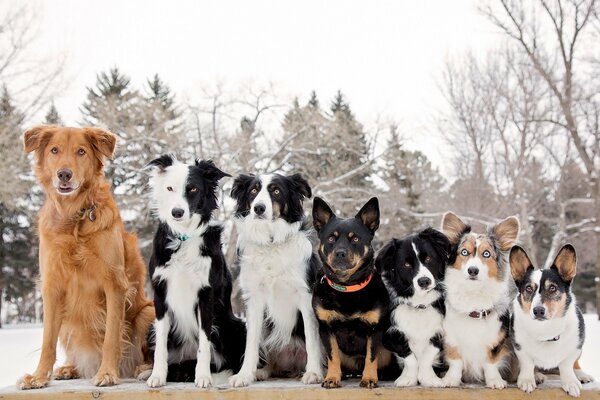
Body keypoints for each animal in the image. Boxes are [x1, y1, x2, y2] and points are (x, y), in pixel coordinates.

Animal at [18, 125, 155, 388]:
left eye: (81, 151)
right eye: (54, 150)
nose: (64, 174)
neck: (74, 217)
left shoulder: (115, 283)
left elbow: (111, 336)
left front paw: (107, 373)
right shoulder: (52, 286)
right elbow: (47, 341)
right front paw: (39, 377)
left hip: (147, 312)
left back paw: (142, 368)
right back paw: (69, 368)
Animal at [310, 198, 394, 390]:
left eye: (355, 238)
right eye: (331, 238)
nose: (340, 253)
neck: (346, 288)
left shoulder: (374, 329)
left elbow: (371, 356)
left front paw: (369, 378)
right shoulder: (326, 328)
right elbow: (333, 356)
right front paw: (332, 377)